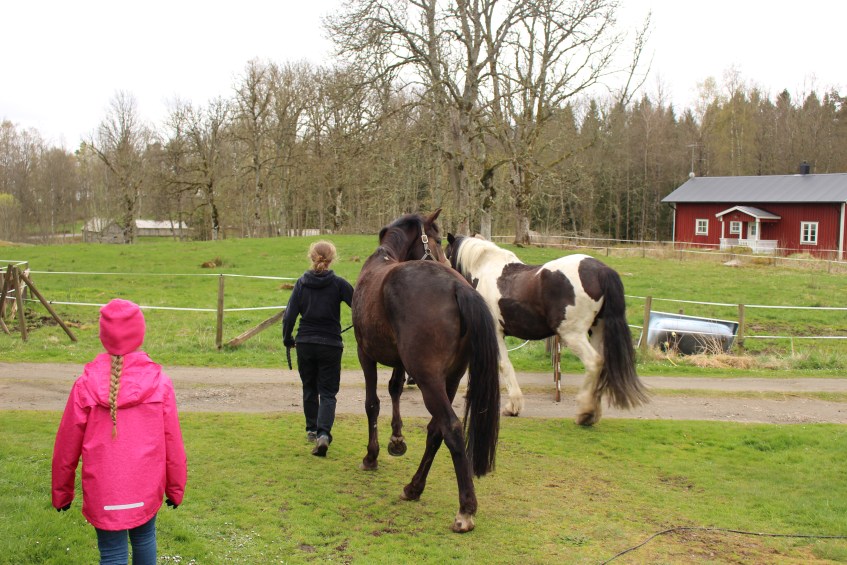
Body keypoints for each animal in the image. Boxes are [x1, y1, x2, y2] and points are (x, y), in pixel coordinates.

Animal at [351, 210, 501, 533]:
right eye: (438, 239)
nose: (446, 262)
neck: (385, 257)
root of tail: (457, 286)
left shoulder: (364, 354)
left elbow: (372, 404)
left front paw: (372, 455)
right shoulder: (399, 362)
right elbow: (394, 389)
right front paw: (397, 439)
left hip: (428, 380)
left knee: (451, 427)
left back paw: (465, 509)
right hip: (450, 379)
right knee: (436, 429)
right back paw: (414, 487)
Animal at [445, 234, 648, 425]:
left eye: (446, 252)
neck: (486, 269)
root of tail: (601, 270)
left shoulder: (496, 333)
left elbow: (504, 365)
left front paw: (513, 406)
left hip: (573, 335)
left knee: (594, 362)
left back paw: (585, 412)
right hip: (597, 332)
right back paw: (592, 412)